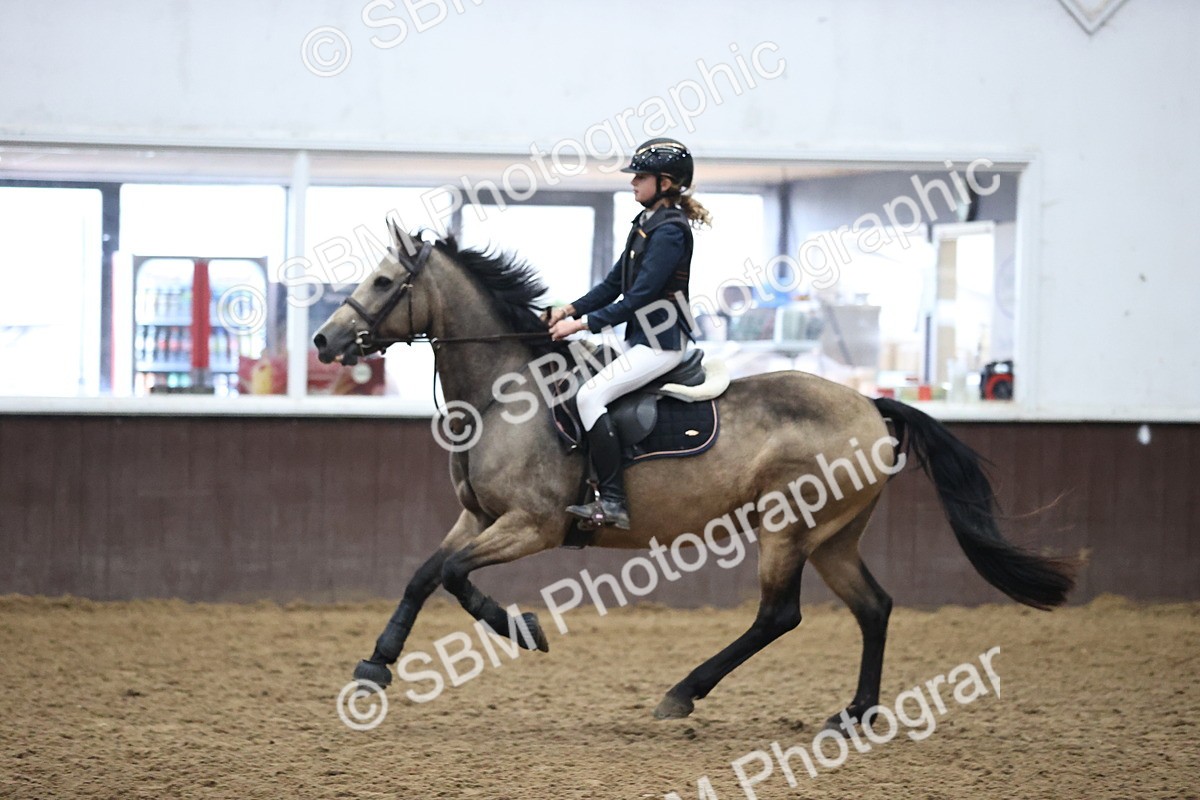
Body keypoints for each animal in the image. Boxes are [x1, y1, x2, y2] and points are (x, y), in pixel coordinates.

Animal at [312, 220, 1075, 726]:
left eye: (383, 281)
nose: (323, 339)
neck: (509, 394)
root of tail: (870, 405)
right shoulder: (477, 515)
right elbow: (427, 573)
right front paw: (380, 663)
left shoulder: (533, 525)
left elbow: (450, 573)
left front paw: (520, 628)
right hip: (833, 537)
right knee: (875, 607)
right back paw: (855, 711)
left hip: (787, 528)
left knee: (779, 615)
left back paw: (683, 693)